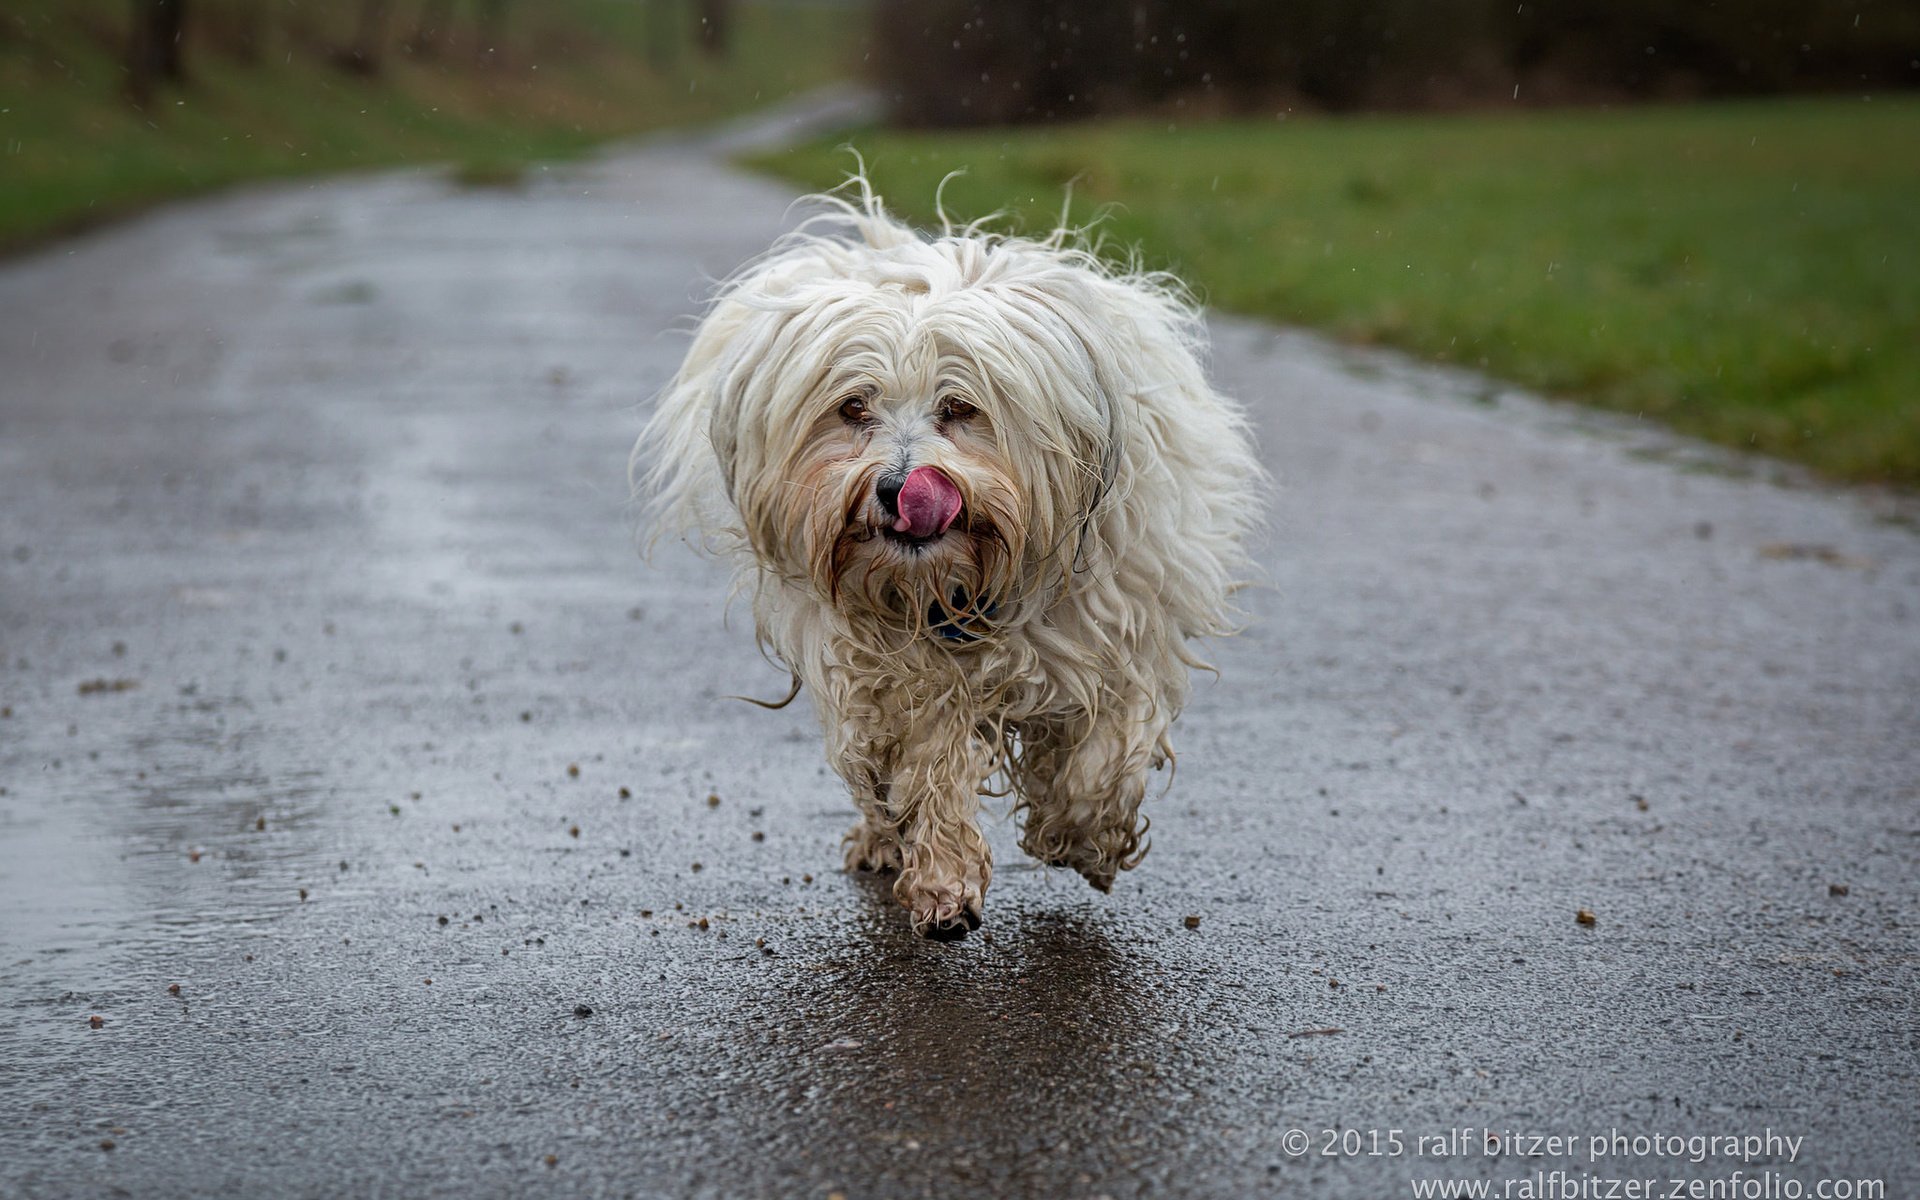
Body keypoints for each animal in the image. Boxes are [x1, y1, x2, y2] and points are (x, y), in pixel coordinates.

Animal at [633, 185, 1259, 936]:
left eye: (960, 407)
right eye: (853, 407)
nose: (899, 487)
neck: (965, 582)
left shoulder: (1124, 627)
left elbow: (1102, 752)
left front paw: (1081, 836)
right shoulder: (904, 672)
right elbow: (928, 762)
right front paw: (942, 883)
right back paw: (882, 839)